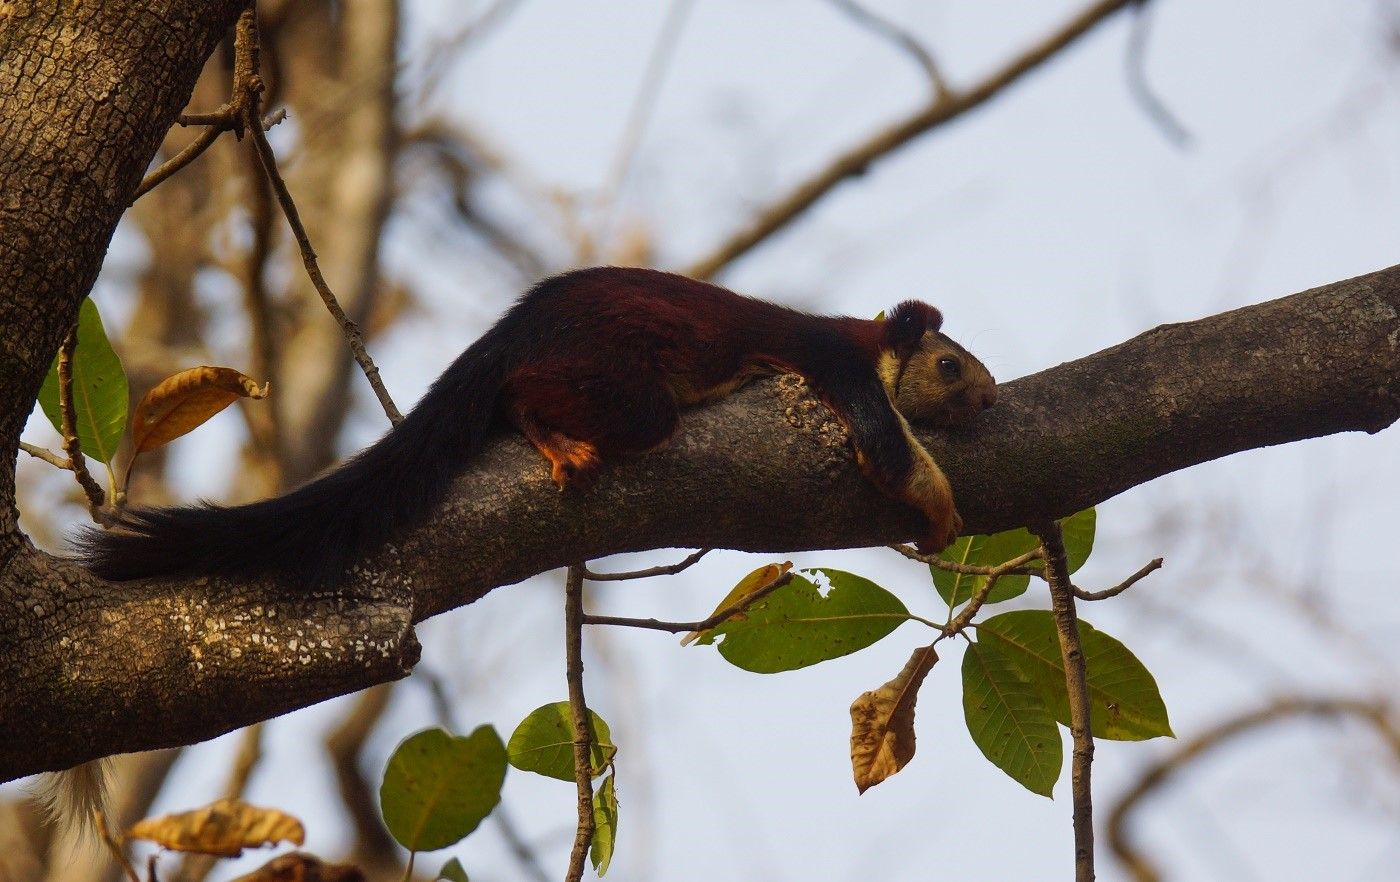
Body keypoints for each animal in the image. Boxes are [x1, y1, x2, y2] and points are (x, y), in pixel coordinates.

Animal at [76, 270, 996, 588]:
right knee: (537, 398)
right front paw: (941, 514)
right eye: (952, 366)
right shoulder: (834, 369)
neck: (866, 343)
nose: (990, 401)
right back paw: (553, 437)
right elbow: (887, 452)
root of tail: (512, 330)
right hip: (623, 386)